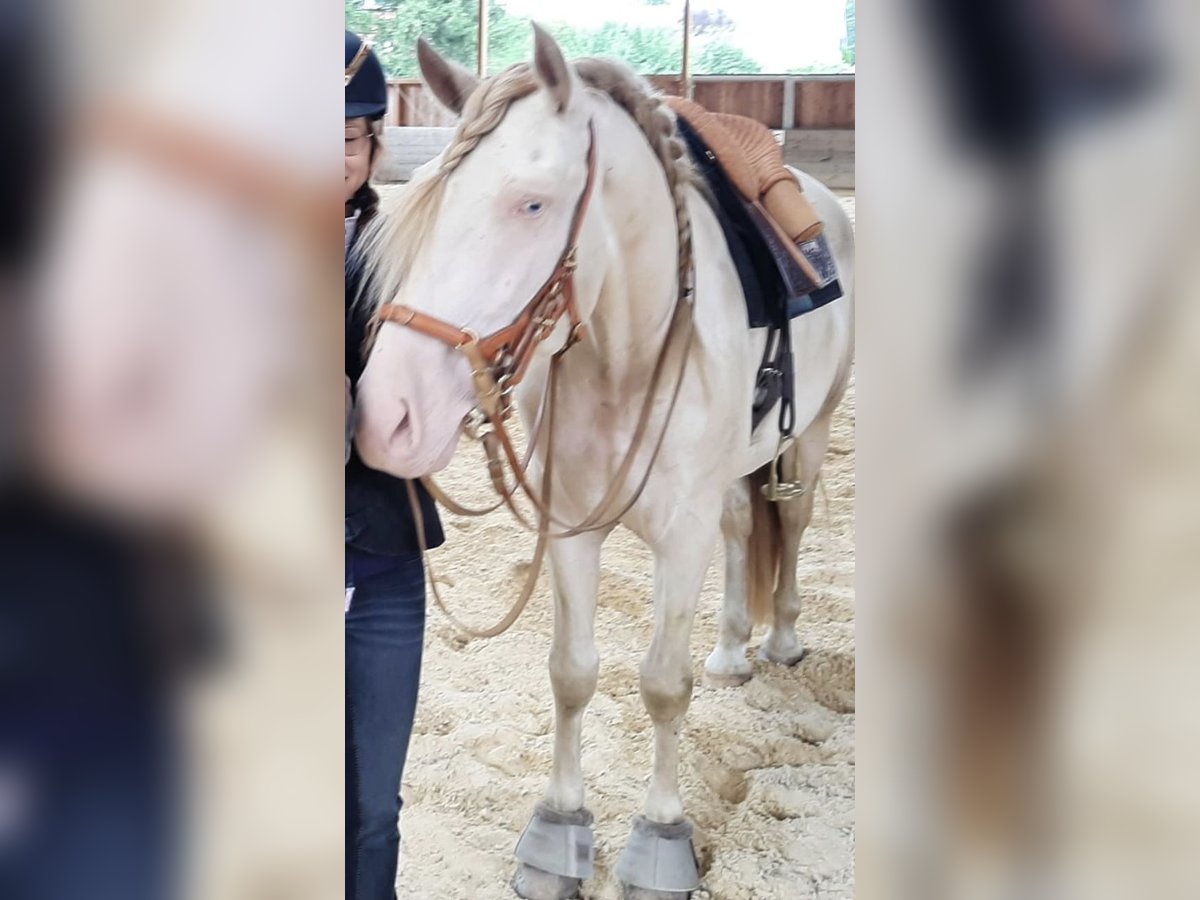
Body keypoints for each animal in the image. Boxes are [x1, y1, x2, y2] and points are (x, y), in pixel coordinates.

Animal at [354, 25, 854, 899]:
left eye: (532, 203)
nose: (389, 414)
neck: (631, 350)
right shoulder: (572, 527)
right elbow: (572, 672)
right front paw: (557, 836)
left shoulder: (679, 538)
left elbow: (661, 684)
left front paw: (659, 841)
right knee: (741, 529)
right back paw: (731, 649)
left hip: (812, 432)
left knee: (790, 521)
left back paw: (783, 639)